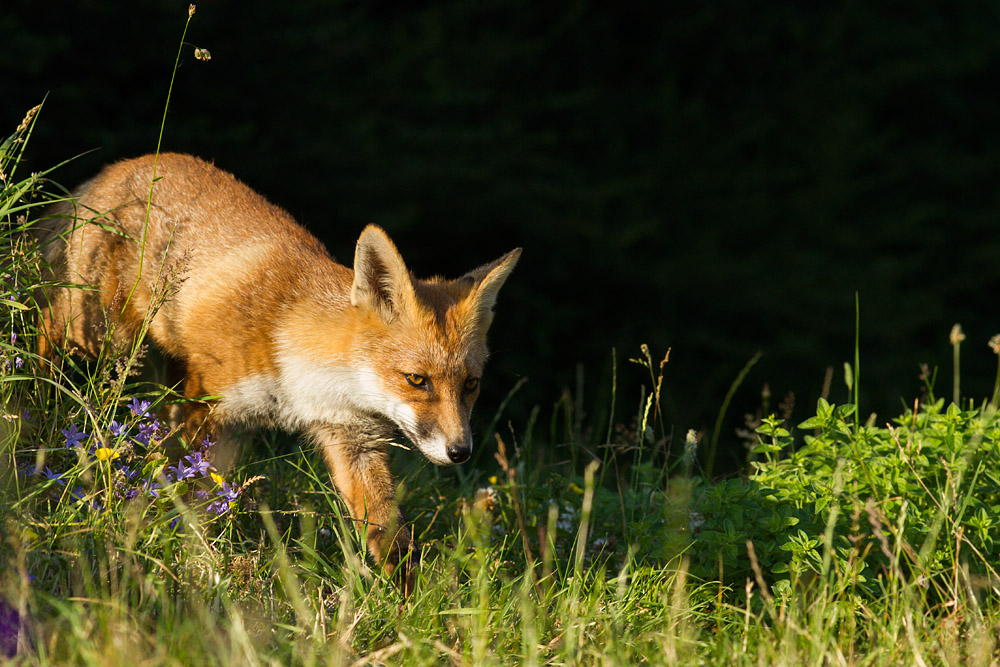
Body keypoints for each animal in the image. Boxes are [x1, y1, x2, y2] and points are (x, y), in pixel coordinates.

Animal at [36, 152, 521, 593]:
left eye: (471, 385)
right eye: (417, 380)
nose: (460, 451)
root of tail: (117, 168)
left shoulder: (351, 437)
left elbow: (389, 533)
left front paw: (408, 608)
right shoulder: (207, 405)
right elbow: (193, 494)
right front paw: (194, 565)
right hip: (100, 335)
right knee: (41, 333)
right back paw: (32, 415)